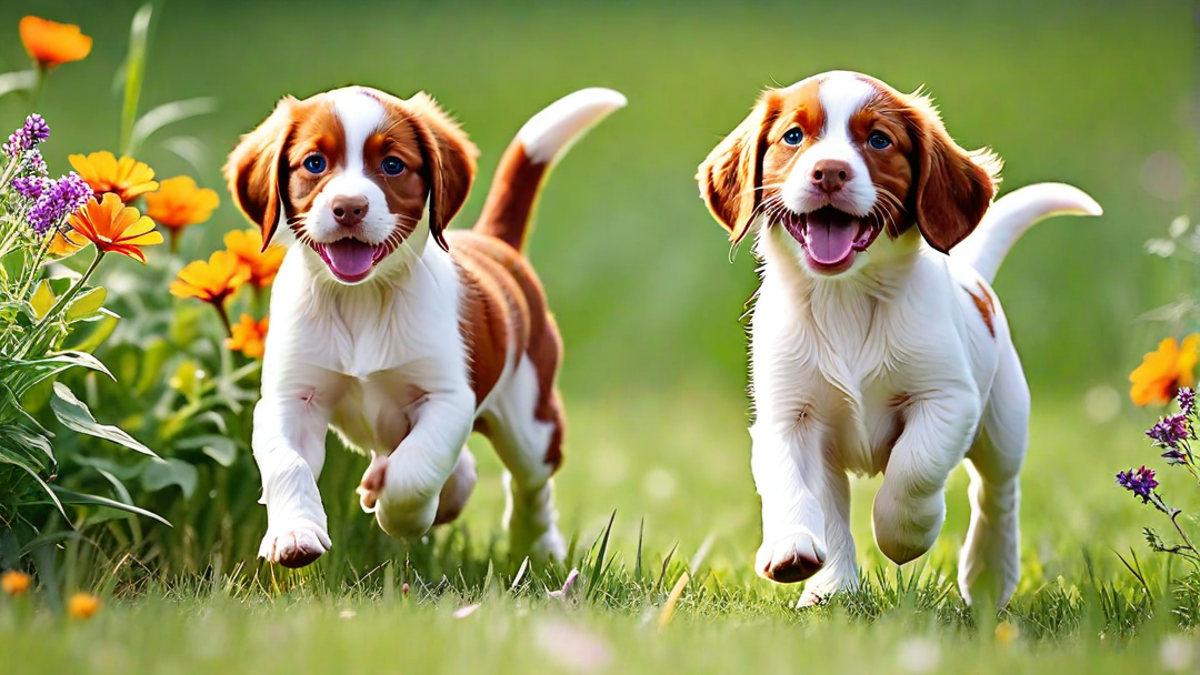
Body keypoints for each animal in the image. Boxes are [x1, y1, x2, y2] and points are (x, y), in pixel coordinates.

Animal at [222, 85, 628, 566]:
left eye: (393, 165)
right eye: (315, 163)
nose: (348, 208)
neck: (362, 298)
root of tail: (494, 242)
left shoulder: (448, 398)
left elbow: (415, 470)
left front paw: (401, 517)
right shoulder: (291, 398)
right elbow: (288, 463)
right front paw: (294, 534)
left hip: (530, 417)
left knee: (530, 484)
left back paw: (539, 546)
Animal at [696, 70, 1099, 607]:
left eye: (879, 140)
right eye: (794, 136)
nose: (828, 172)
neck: (845, 297)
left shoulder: (947, 399)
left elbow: (915, 466)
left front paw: (903, 534)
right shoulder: (788, 416)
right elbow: (793, 486)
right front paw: (792, 551)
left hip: (1003, 423)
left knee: (996, 493)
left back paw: (988, 574)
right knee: (835, 504)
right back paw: (833, 588)